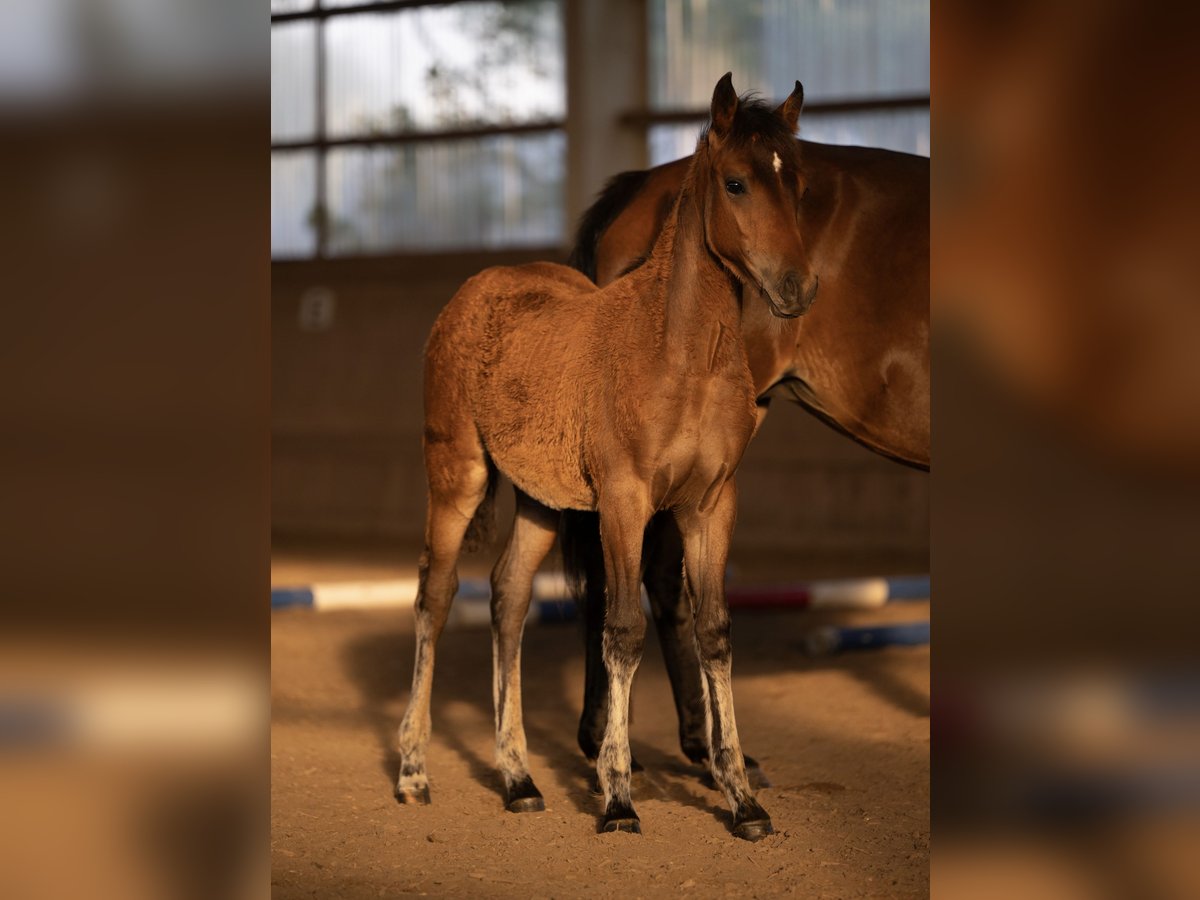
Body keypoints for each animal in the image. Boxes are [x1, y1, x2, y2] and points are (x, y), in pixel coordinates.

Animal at [394, 73, 814, 841]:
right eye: (736, 182)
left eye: (797, 184)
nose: (799, 289)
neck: (680, 353)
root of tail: (473, 289)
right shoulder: (625, 501)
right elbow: (622, 629)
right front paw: (617, 797)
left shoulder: (710, 505)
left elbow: (714, 633)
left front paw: (742, 800)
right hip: (457, 474)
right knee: (434, 596)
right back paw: (413, 771)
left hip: (541, 498)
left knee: (507, 597)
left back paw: (519, 779)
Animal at [564, 123, 929, 773]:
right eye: (736, 187)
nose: (799, 288)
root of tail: (642, 185)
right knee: (633, 578)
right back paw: (621, 741)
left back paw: (689, 744)